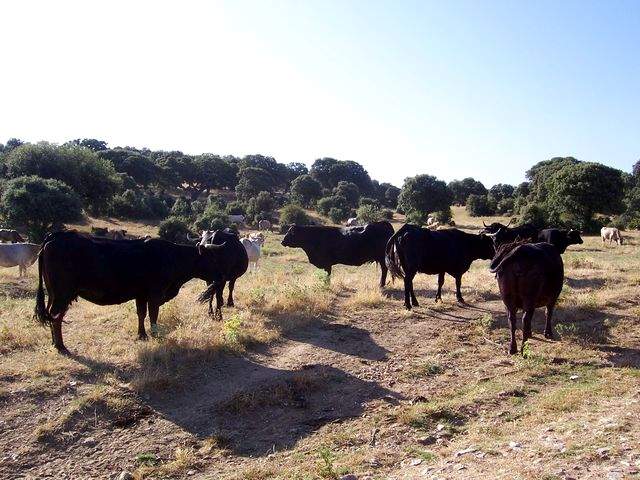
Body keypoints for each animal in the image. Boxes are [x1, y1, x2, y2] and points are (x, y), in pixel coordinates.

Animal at [34, 231, 229, 353]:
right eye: (211, 259)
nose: (221, 276)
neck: (173, 257)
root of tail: (55, 236)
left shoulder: (140, 294)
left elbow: (141, 313)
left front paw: (142, 335)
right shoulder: (155, 293)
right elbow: (153, 315)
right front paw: (155, 335)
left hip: (53, 294)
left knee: (51, 315)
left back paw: (54, 343)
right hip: (62, 294)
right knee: (56, 317)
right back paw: (61, 346)